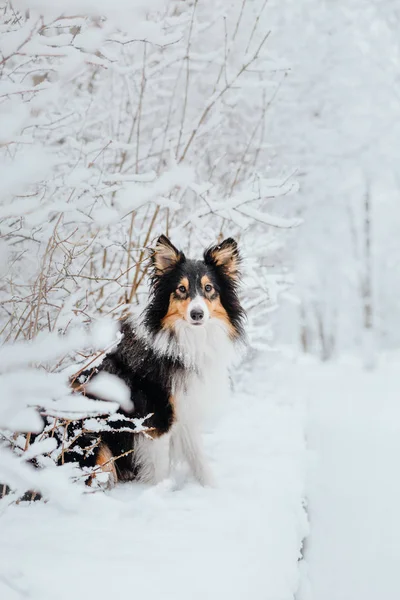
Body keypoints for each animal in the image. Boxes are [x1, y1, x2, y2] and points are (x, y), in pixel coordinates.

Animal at [68, 234, 244, 488]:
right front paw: (159, 491)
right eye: (181, 289)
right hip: (93, 440)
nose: (197, 314)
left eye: (208, 288)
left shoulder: (186, 407)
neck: (186, 340)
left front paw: (211, 487)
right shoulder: (155, 421)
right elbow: (160, 468)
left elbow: (198, 457)